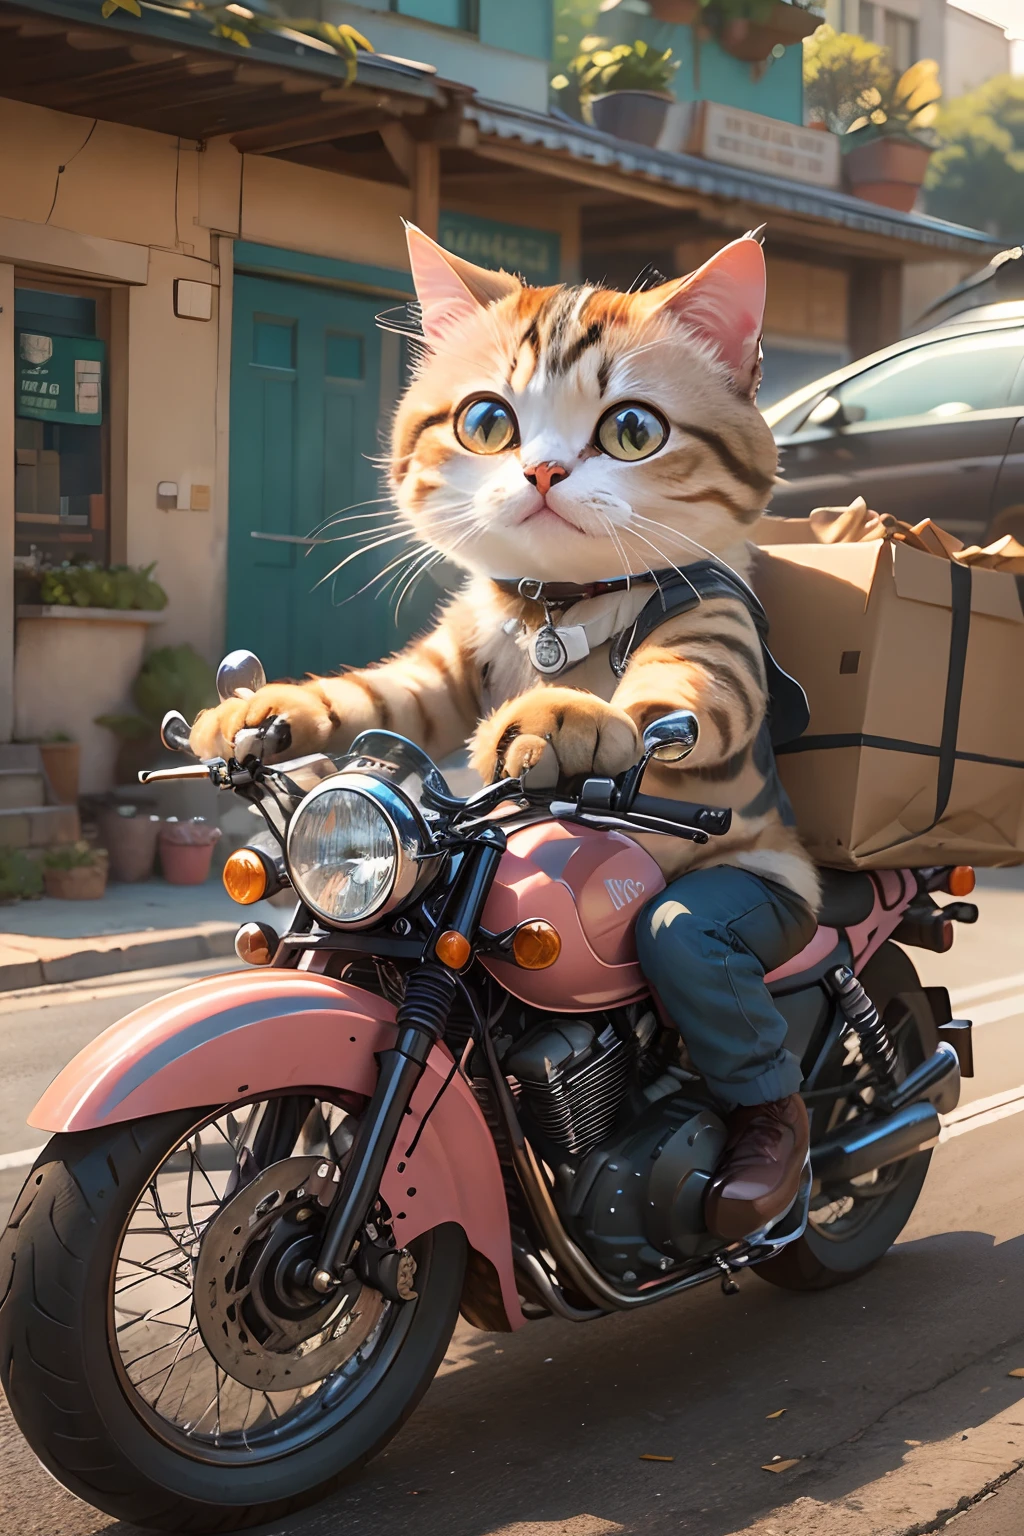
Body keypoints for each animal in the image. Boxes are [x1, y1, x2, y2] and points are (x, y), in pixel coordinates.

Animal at [190, 222, 816, 903]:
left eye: (633, 429)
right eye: (487, 421)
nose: (542, 471)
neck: (558, 605)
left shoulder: (713, 614)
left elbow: (683, 694)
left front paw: (564, 719)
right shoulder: (450, 659)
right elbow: (379, 694)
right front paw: (260, 711)